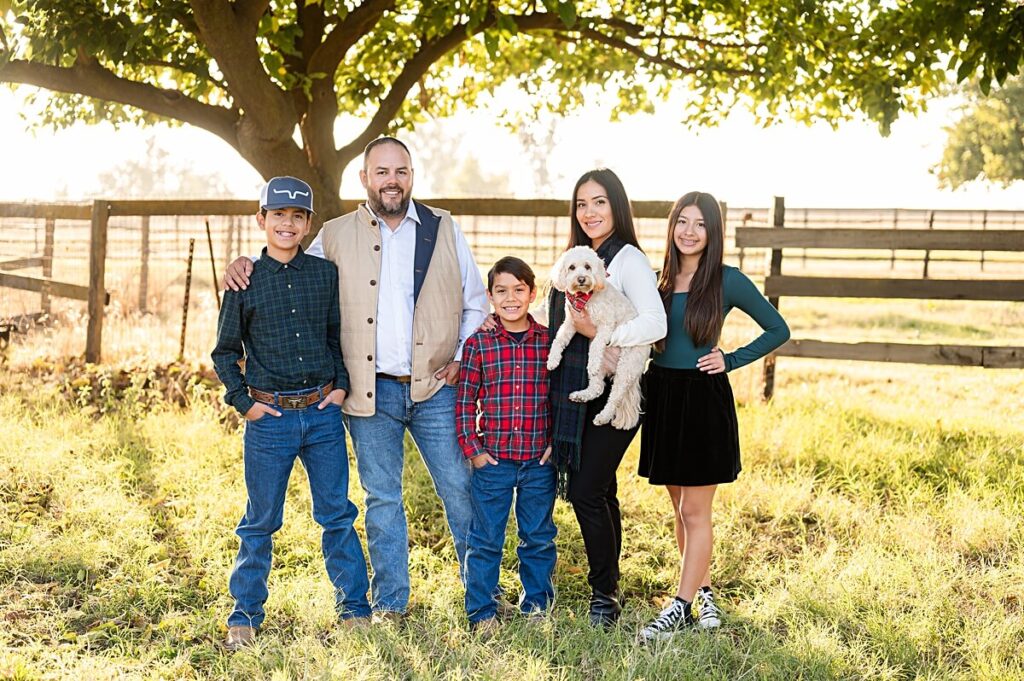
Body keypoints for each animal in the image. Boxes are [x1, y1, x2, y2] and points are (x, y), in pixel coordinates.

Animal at [548, 244, 651, 428]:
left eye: (587, 266)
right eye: (572, 267)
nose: (581, 278)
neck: (584, 299)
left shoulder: (605, 326)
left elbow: (597, 345)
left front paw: (592, 363)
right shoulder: (570, 324)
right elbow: (558, 340)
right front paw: (552, 360)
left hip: (626, 366)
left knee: (615, 397)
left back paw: (603, 416)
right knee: (598, 387)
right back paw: (582, 394)